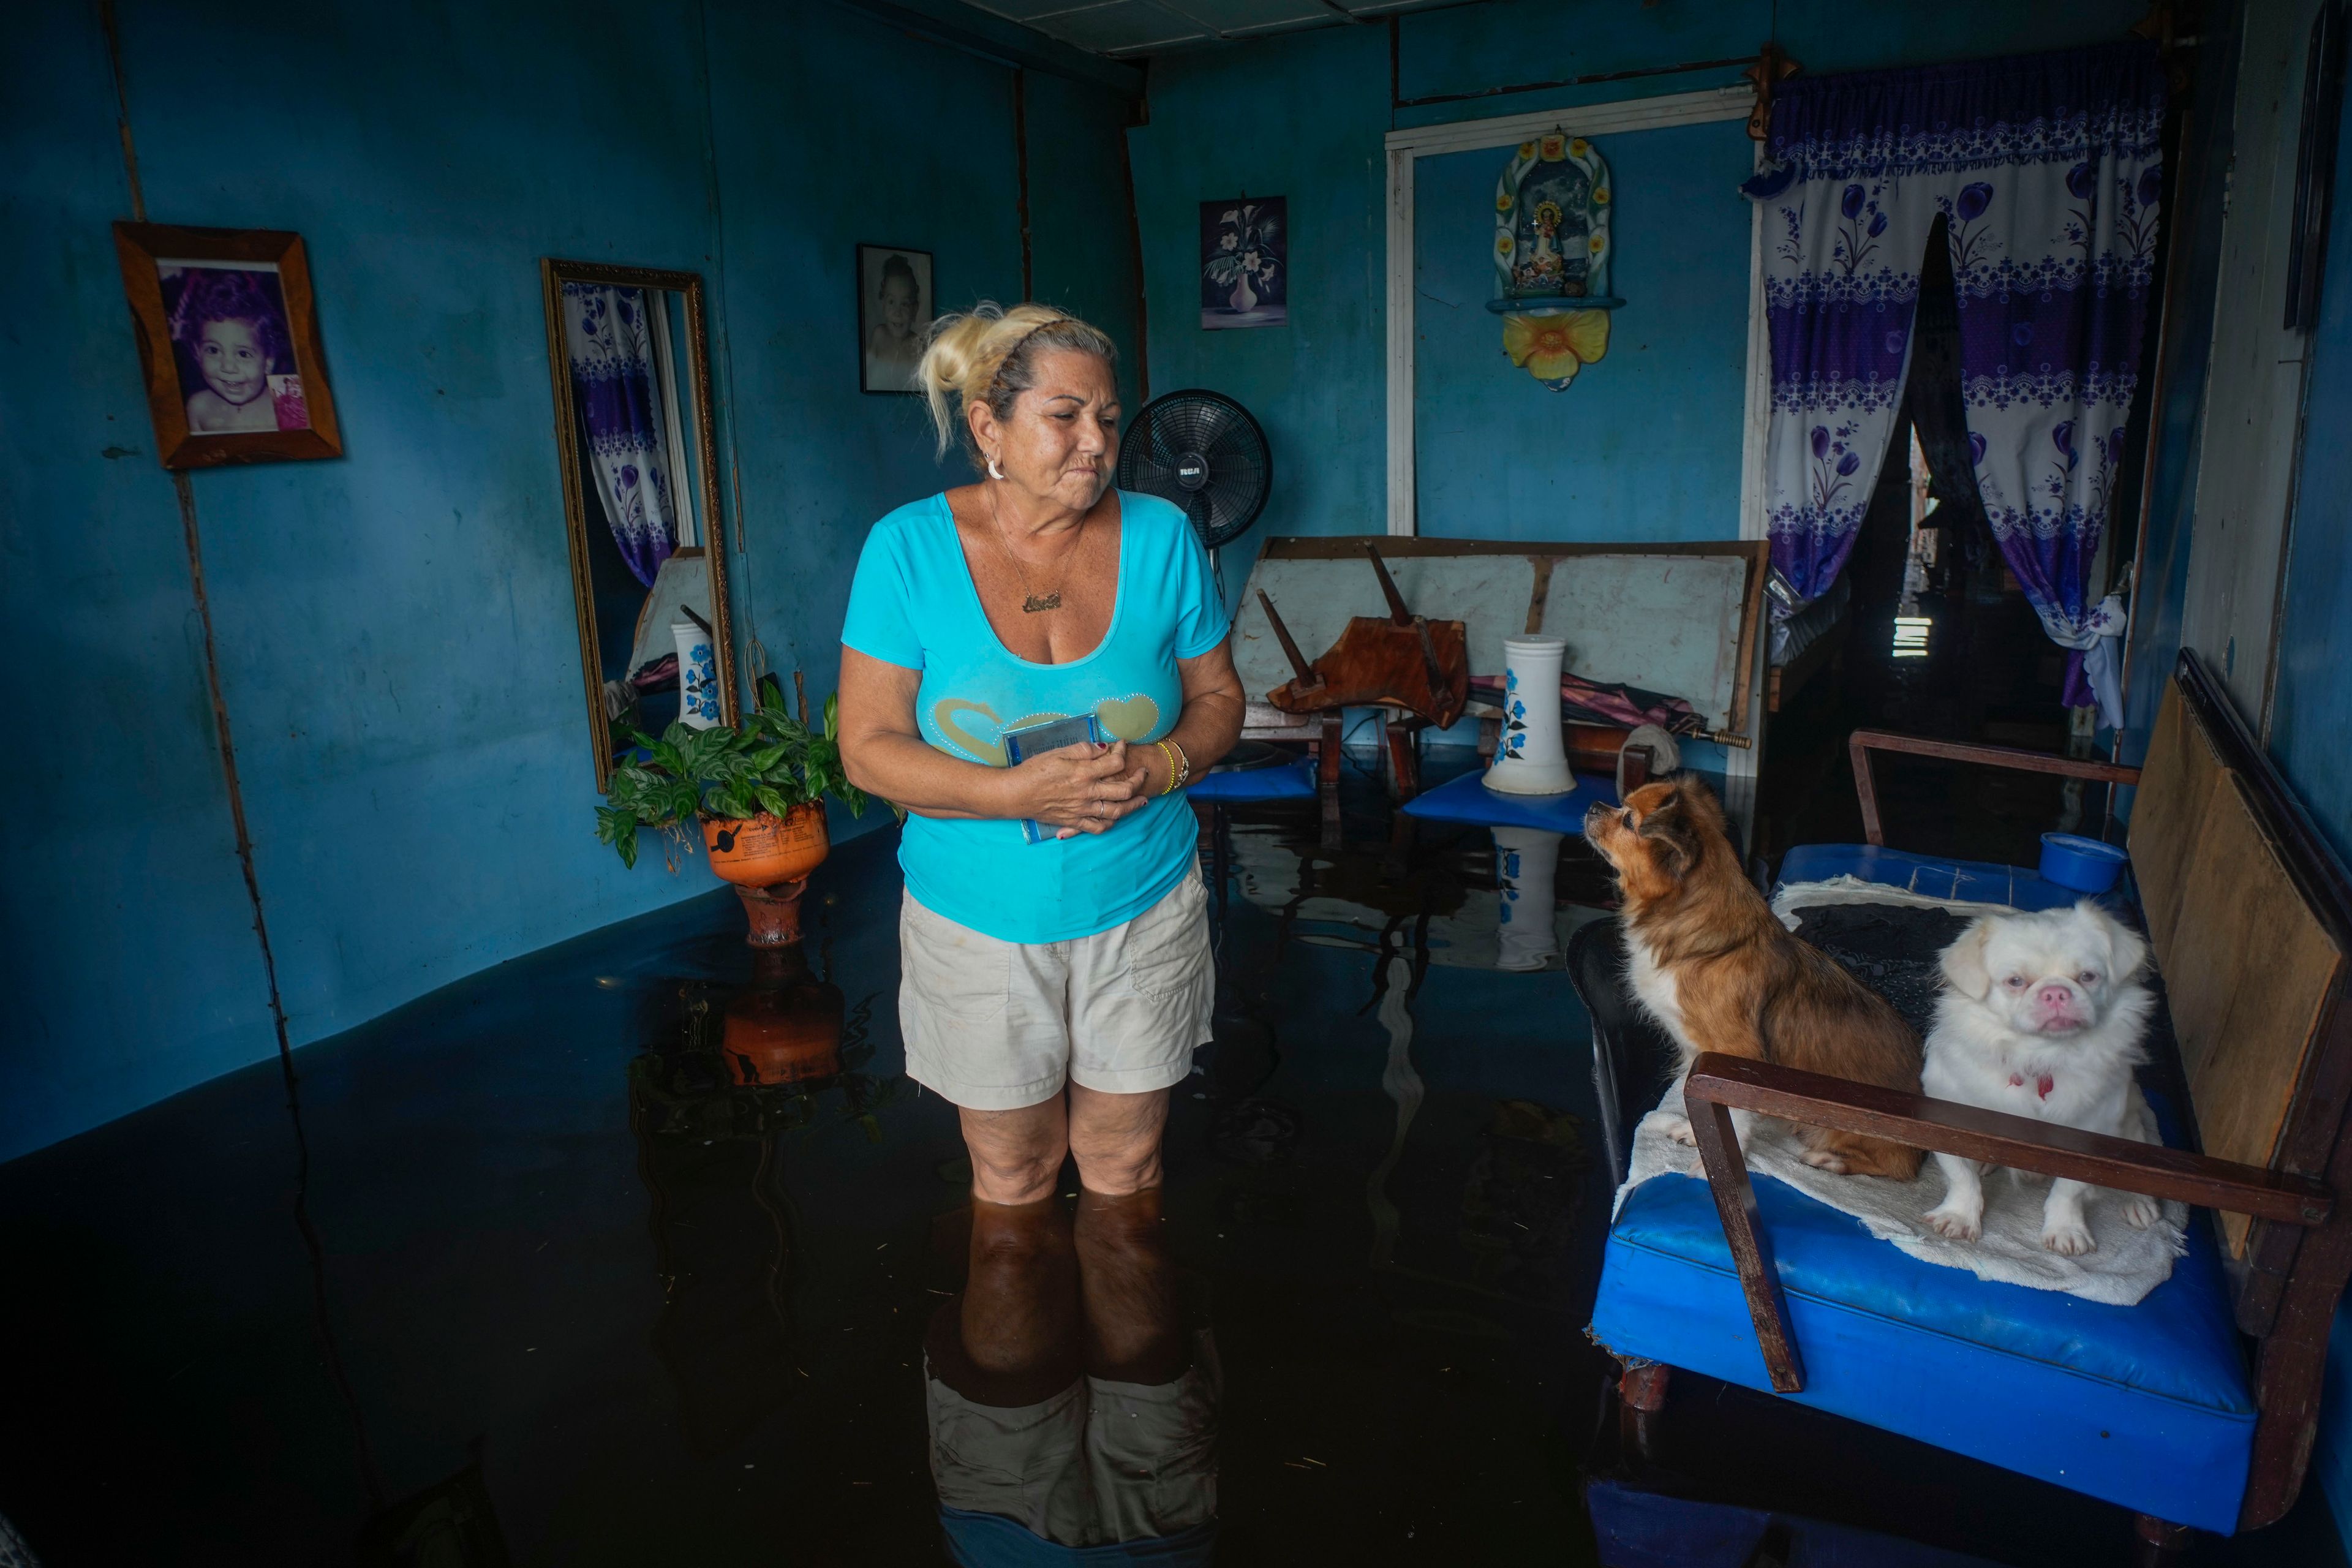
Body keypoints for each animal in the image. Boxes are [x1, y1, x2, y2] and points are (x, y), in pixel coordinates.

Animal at [1580, 775, 1928, 1175]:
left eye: (1628, 820)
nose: (1593, 805)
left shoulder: (1734, 1055)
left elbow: (1733, 1113)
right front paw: (1694, 1132)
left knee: (1896, 1166)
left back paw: (1830, 1160)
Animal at [1919, 902, 2154, 1260]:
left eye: (2088, 977)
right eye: (2016, 981)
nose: (2056, 992)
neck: (2039, 1057)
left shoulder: (2092, 1135)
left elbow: (2070, 1190)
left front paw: (2066, 1230)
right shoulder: (1947, 1117)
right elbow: (1961, 1176)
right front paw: (1960, 1218)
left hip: (2131, 1123)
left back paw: (2140, 1202)